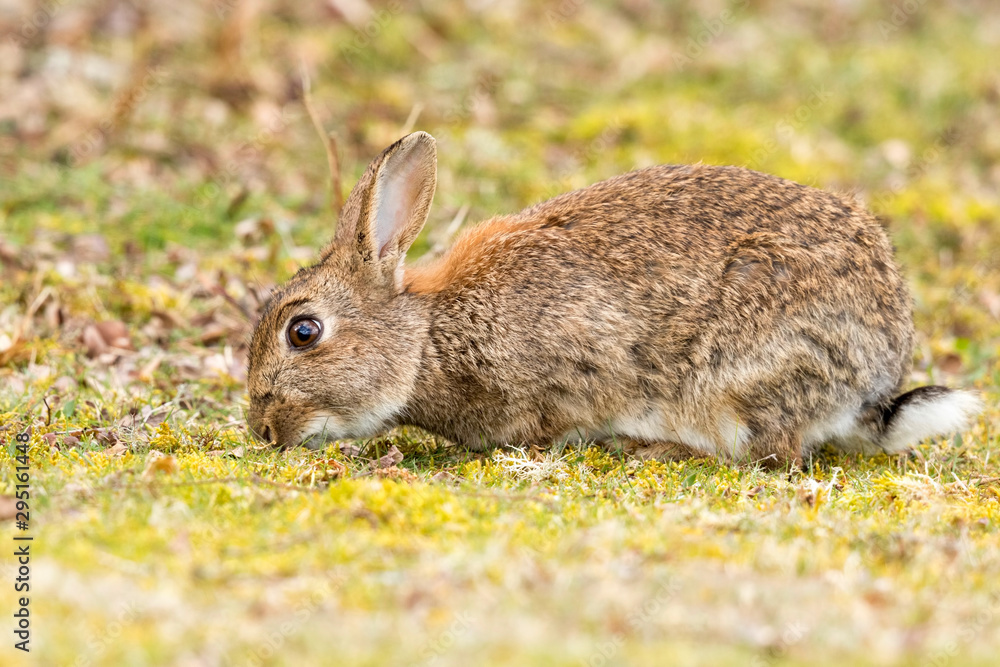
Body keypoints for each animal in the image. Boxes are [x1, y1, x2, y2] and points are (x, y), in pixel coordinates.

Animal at [246, 131, 982, 468]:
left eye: (303, 331)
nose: (262, 429)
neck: (429, 337)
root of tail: (872, 389)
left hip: (740, 373)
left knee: (774, 452)